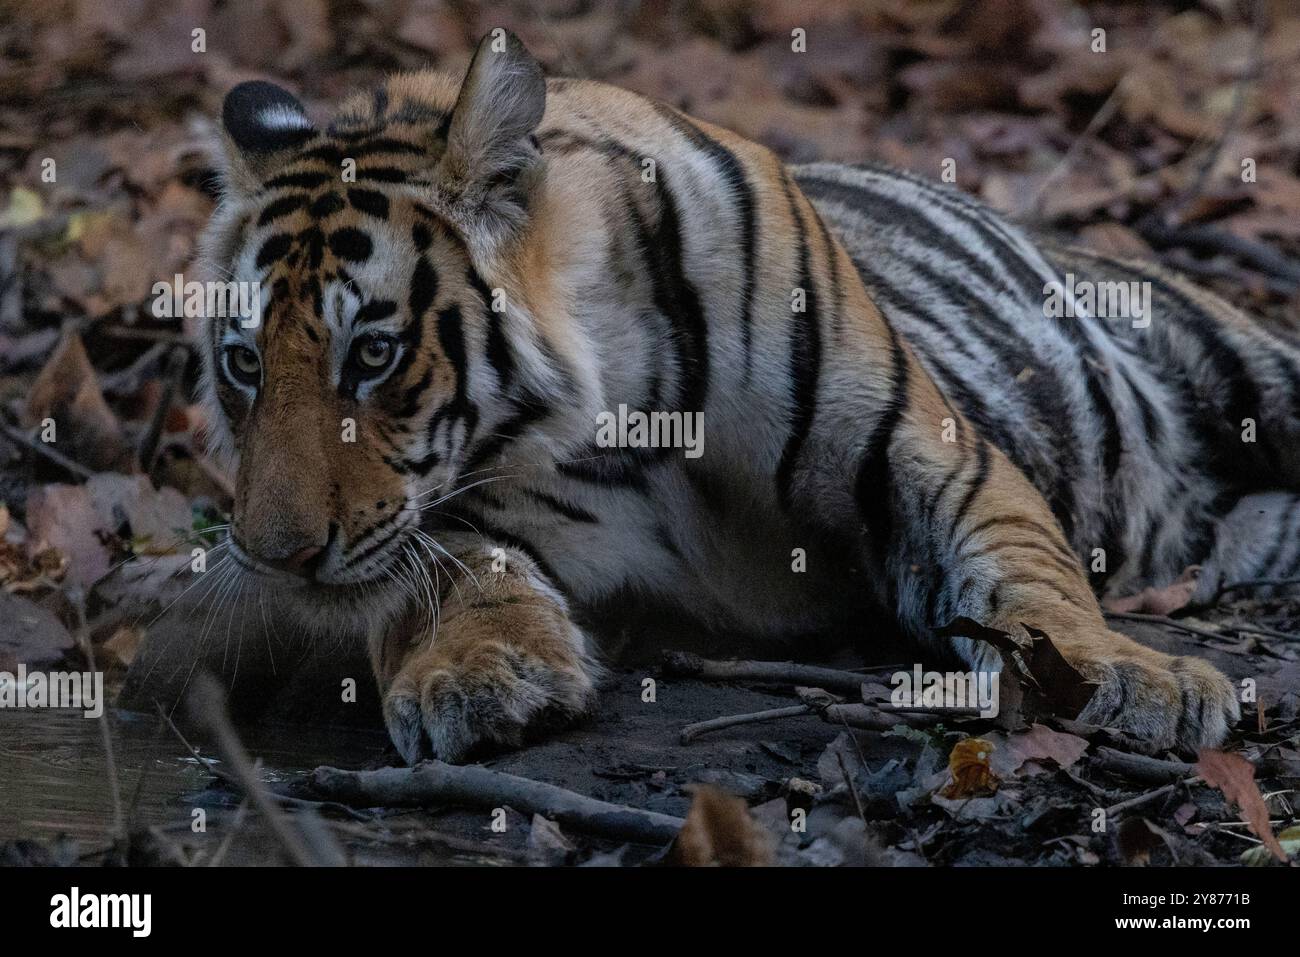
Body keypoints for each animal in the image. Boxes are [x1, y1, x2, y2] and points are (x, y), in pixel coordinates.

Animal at [195, 26, 1300, 764]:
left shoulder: (936, 453)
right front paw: (477, 673)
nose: (269, 556)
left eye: (374, 353)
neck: (613, 411)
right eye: (245, 364)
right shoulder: (460, 513)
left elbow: (1030, 573)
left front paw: (1131, 677)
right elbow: (458, 573)